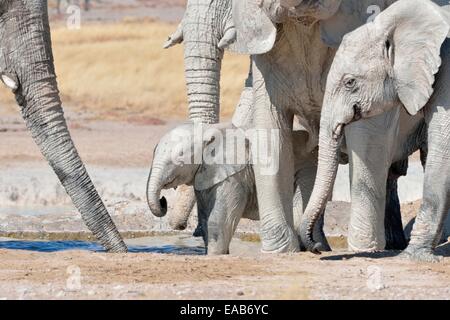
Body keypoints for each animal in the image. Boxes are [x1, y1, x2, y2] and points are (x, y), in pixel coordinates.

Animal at [146, 122, 326, 255]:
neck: (208, 129)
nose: (163, 201)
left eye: (181, 156)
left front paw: (214, 256)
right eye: (154, 150)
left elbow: (217, 220)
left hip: (307, 170)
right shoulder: (207, 173)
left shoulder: (234, 175)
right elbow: (205, 219)